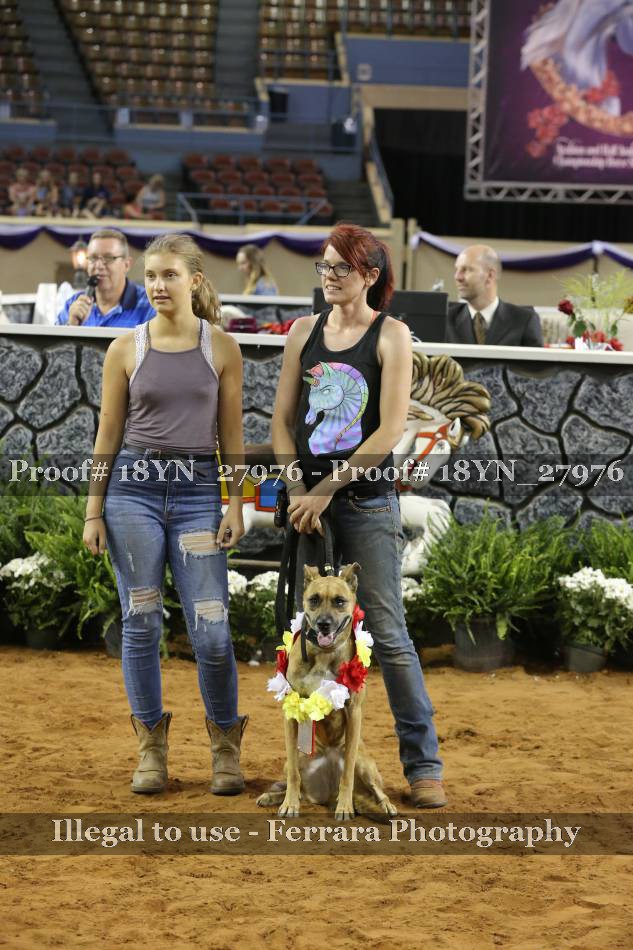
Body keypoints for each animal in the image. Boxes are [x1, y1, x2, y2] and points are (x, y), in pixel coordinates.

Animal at [256, 563, 397, 821]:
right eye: (314, 599)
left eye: (339, 601)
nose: (323, 624)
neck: (324, 654)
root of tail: (328, 794)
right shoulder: (290, 715)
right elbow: (293, 776)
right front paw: (289, 804)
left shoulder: (354, 712)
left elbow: (347, 773)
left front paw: (345, 807)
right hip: (300, 757)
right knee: (297, 781)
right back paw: (273, 796)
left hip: (365, 763)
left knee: (377, 790)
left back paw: (384, 806)